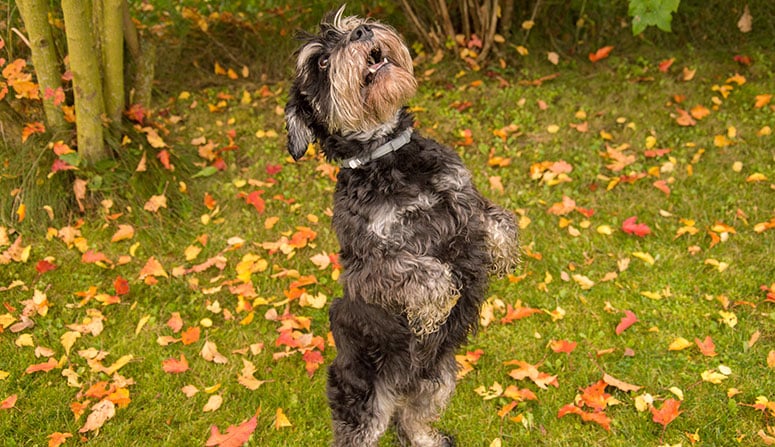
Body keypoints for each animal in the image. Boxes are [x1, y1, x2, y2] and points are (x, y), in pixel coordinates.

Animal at [282, 7, 520, 447]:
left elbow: (496, 217)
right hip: (364, 400)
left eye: (349, 24)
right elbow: (424, 271)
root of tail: (400, 387)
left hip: (439, 378)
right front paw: (437, 306)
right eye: (319, 62)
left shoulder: (461, 194)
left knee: (411, 422)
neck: (388, 158)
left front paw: (502, 255)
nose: (363, 32)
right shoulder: (368, 267)